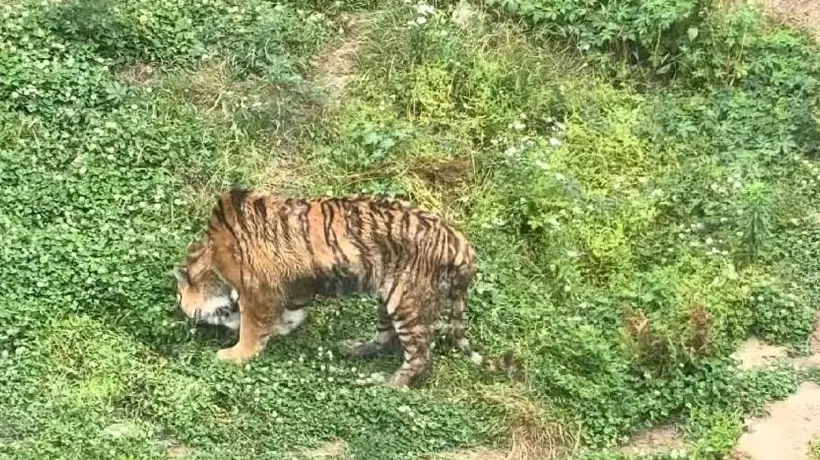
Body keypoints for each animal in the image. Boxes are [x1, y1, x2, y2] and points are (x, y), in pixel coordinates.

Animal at [174, 187, 482, 388]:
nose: (180, 310)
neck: (212, 261)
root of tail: (461, 243)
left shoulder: (258, 289)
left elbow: (253, 327)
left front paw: (235, 354)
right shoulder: (295, 286)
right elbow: (292, 314)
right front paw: (279, 330)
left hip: (408, 301)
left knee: (420, 355)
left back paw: (390, 384)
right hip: (388, 297)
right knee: (386, 338)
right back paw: (354, 348)